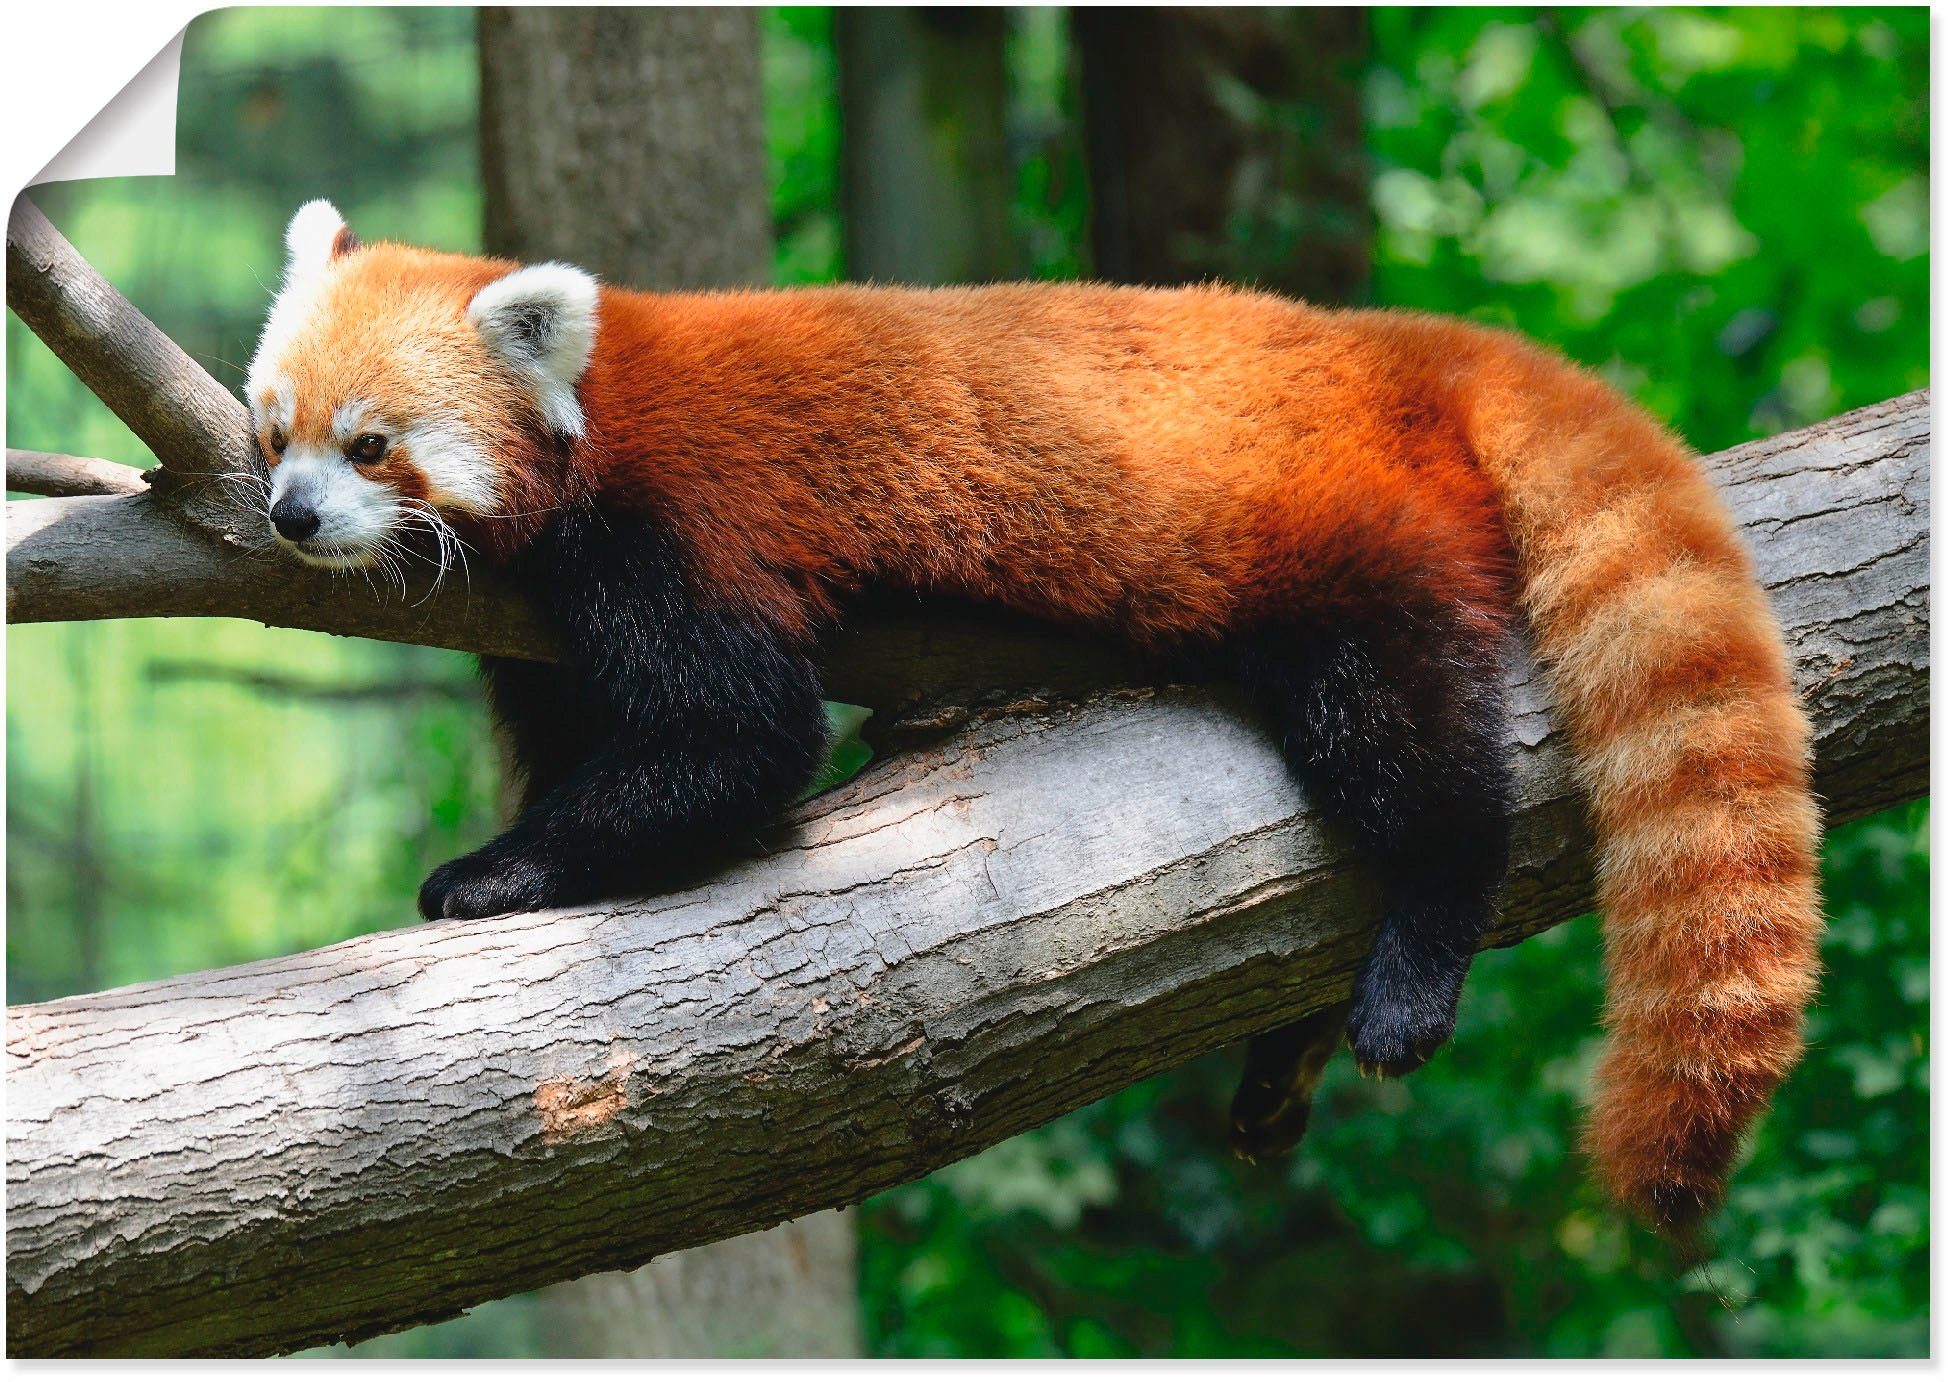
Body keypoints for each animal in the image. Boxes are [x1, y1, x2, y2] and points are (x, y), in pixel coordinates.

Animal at [247, 200, 1827, 1233]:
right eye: (274, 429)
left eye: (370, 445)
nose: (287, 515)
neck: (597, 401)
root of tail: (1394, 345)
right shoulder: (535, 624)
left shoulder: (679, 530)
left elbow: (739, 739)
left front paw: (494, 870)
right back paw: (1286, 1056)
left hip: (1347, 541)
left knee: (1412, 753)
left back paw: (1412, 960)